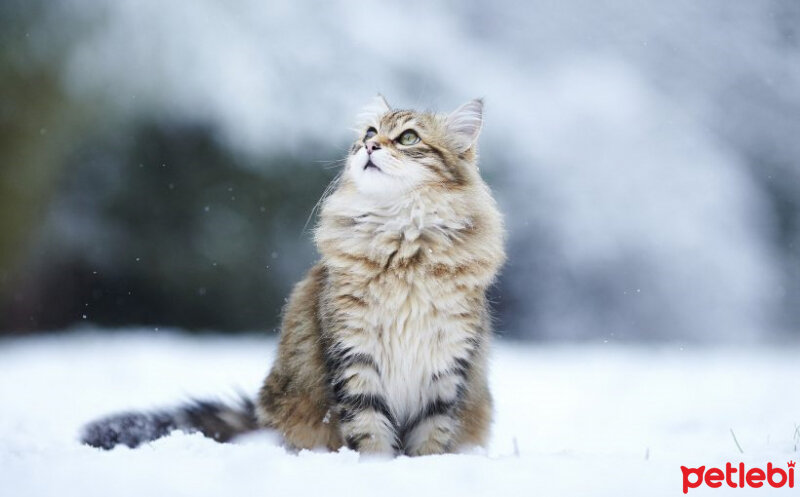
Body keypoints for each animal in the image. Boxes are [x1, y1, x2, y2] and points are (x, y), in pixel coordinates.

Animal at [81, 95, 506, 456]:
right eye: (370, 132)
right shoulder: (354, 354)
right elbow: (369, 431)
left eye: (408, 137)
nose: (370, 146)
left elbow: (432, 437)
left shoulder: (447, 364)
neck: (403, 245)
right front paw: (375, 467)